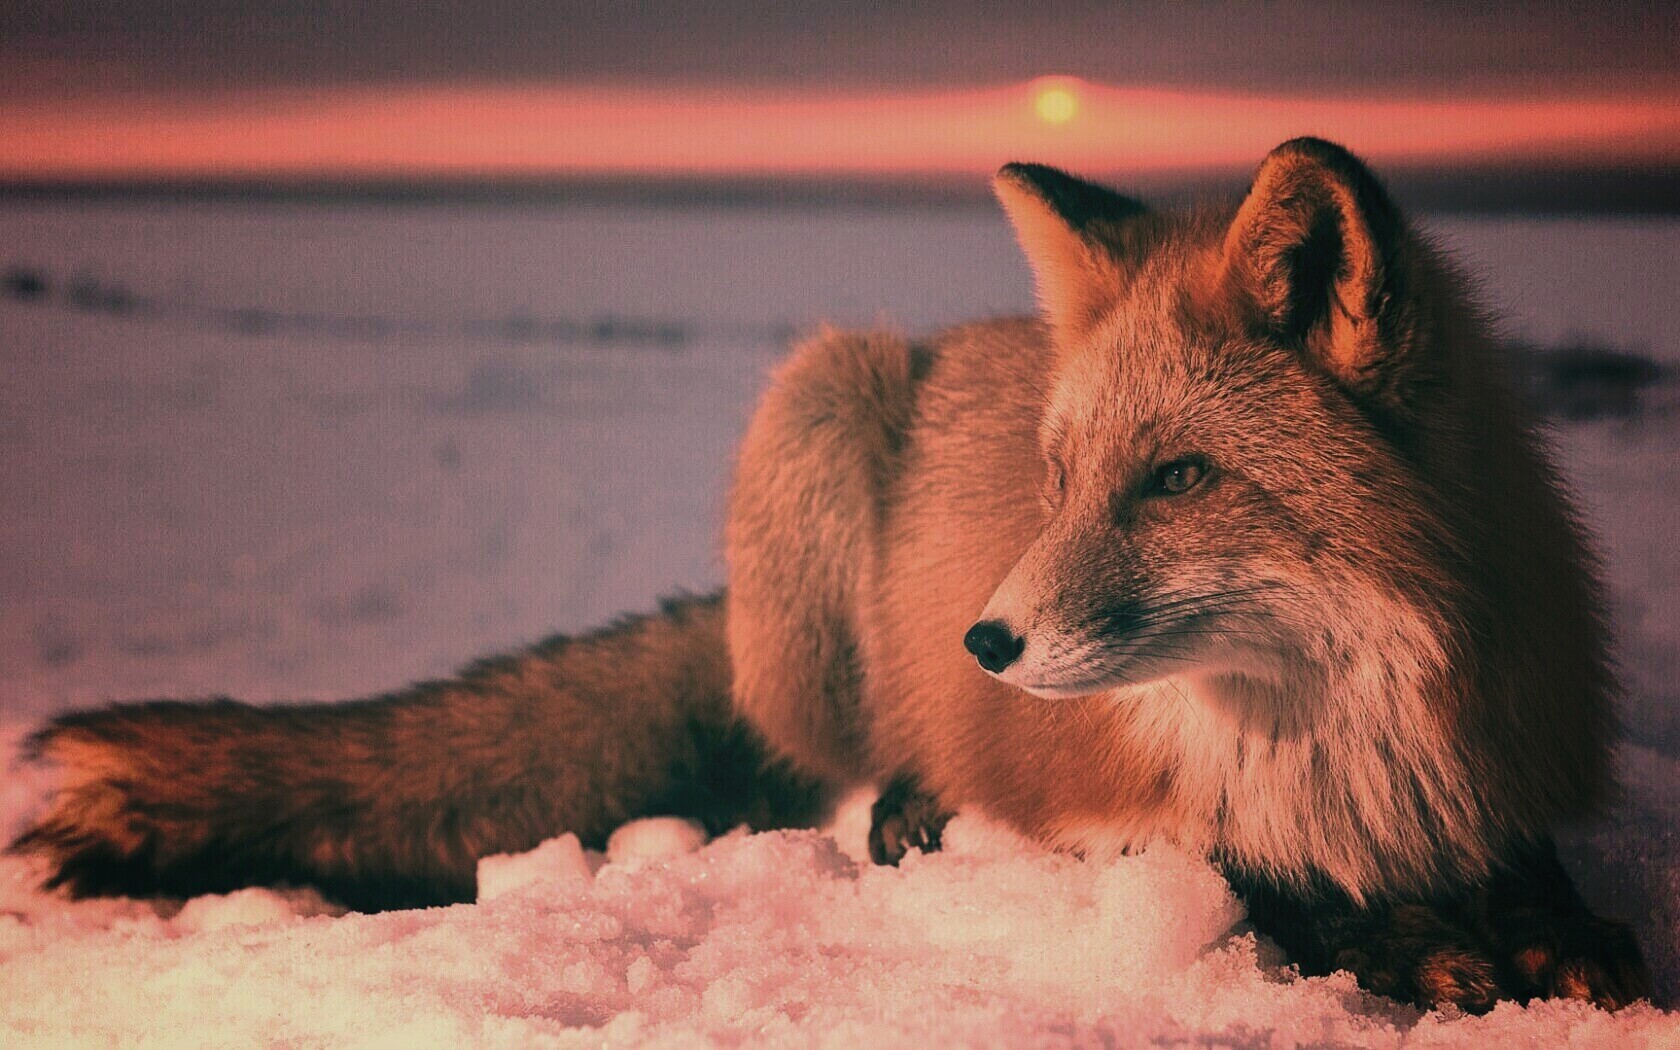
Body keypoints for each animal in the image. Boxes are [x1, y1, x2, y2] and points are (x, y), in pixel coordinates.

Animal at [9, 138, 1652, 1012]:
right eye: (1060, 481)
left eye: (1179, 477)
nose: (986, 641)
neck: (1337, 742)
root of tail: (960, 336)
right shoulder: (1097, 803)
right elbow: (1252, 882)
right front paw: (1405, 944)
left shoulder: (1498, 764)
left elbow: (1541, 883)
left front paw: (1547, 936)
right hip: (818, 402)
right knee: (836, 766)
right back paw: (903, 803)